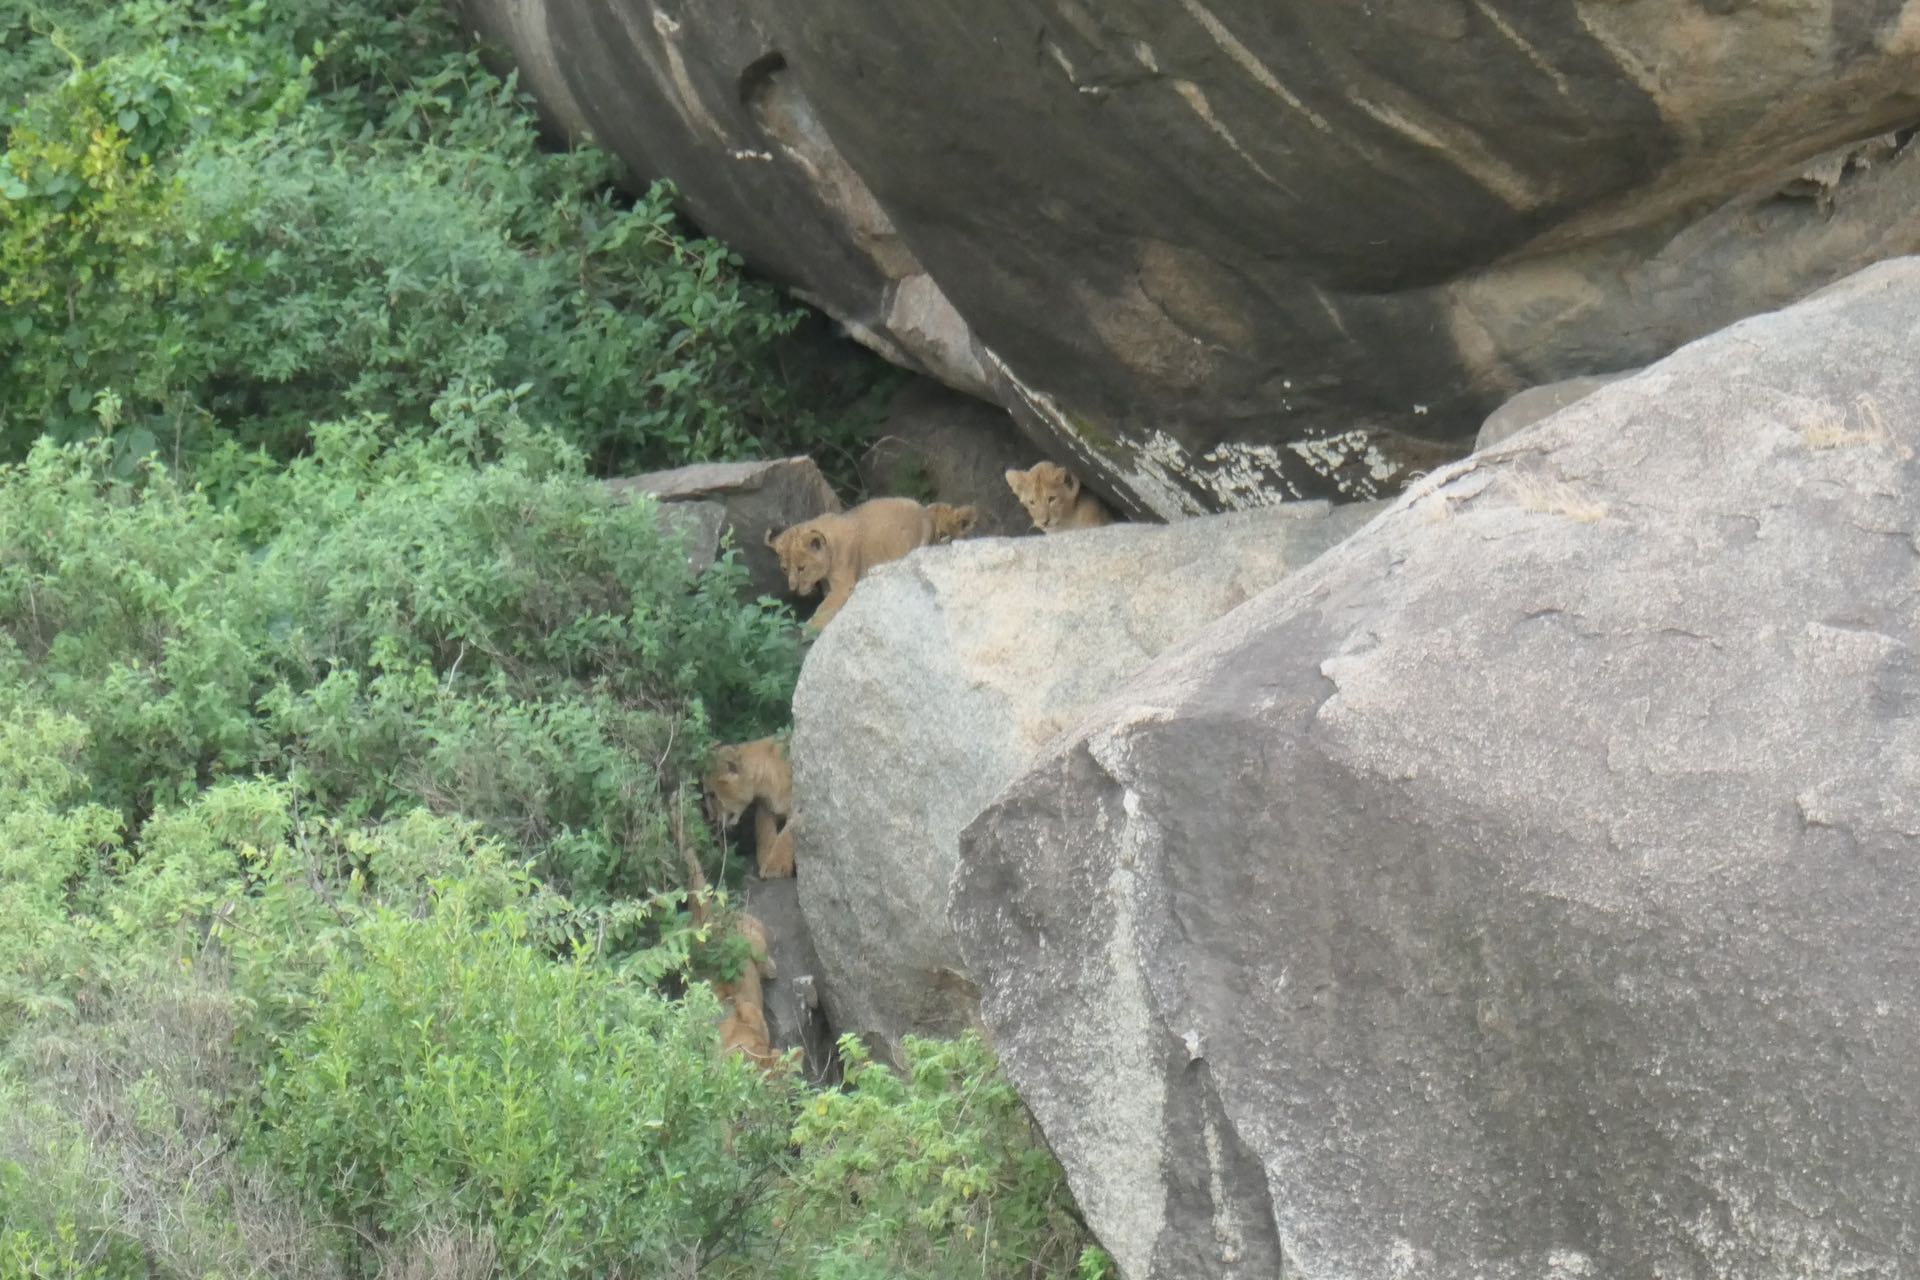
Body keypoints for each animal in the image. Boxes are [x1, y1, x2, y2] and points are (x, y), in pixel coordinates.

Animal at [702, 737, 795, 879]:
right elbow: (765, 834)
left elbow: (786, 836)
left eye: (712, 795)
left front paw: (774, 867)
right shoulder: (765, 808)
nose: (711, 818)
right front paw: (765, 858)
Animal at [765, 497, 936, 628]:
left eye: (802, 568)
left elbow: (825, 608)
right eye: (784, 569)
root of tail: (924, 515)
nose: (793, 589)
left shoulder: (843, 587)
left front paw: (810, 629)